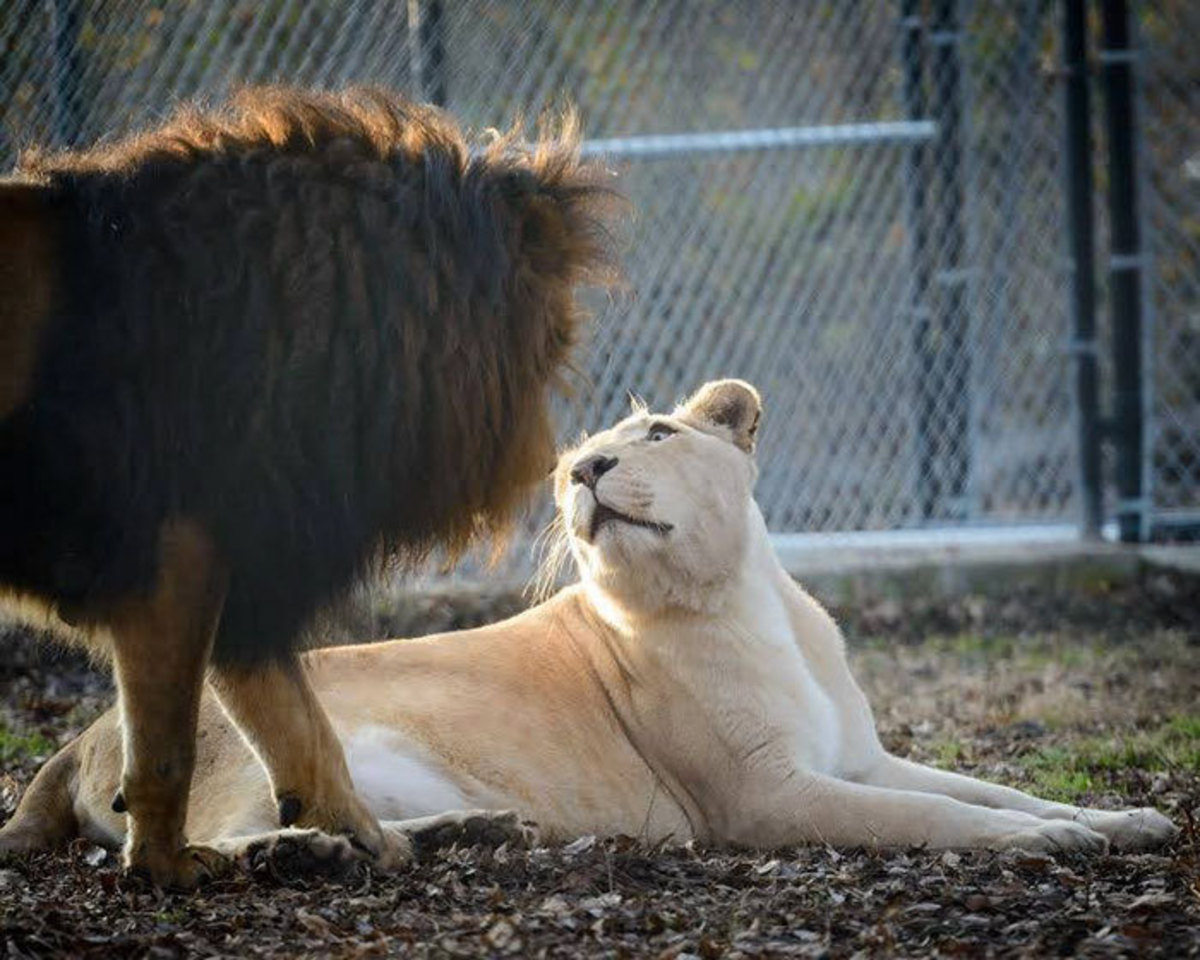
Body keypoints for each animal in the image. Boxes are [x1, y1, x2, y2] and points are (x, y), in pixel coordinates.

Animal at [0, 86, 619, 888]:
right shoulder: (184, 548)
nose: (554, 458)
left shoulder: (246, 564)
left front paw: (370, 840)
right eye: (555, 339)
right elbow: (168, 751)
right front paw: (169, 869)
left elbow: (303, 732)